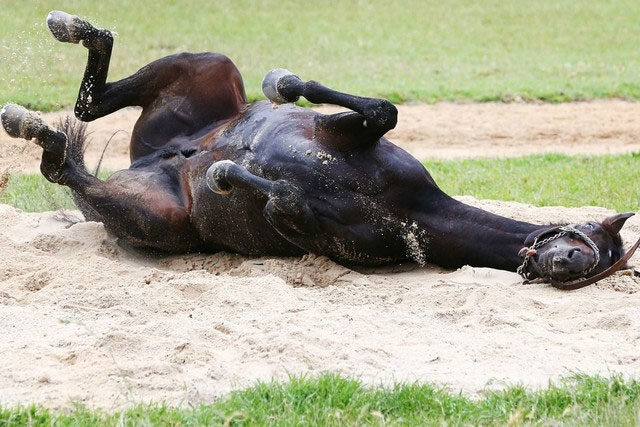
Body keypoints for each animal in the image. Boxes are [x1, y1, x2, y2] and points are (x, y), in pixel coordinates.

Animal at [1, 11, 638, 289]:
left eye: (597, 266)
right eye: (587, 240)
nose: (564, 264)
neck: (414, 211)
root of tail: (149, 160)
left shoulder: (309, 227)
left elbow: (281, 196)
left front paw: (226, 173)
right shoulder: (347, 133)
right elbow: (380, 109)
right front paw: (282, 85)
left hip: (154, 216)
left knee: (66, 162)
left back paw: (36, 127)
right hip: (208, 66)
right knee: (89, 105)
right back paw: (69, 32)